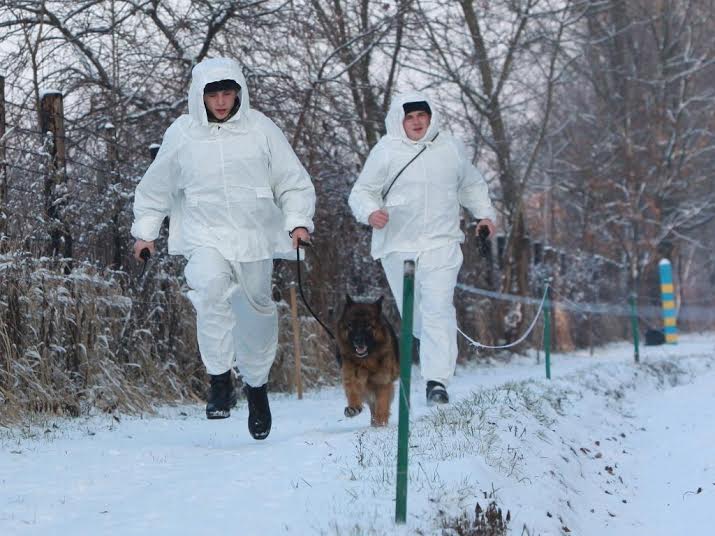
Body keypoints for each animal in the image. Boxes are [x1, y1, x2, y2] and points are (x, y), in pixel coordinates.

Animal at [338, 294, 400, 428]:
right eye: (351, 325)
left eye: (368, 325)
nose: (358, 340)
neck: (367, 361)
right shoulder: (352, 376)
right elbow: (353, 391)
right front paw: (353, 407)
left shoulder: (383, 382)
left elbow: (382, 404)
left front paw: (381, 424)